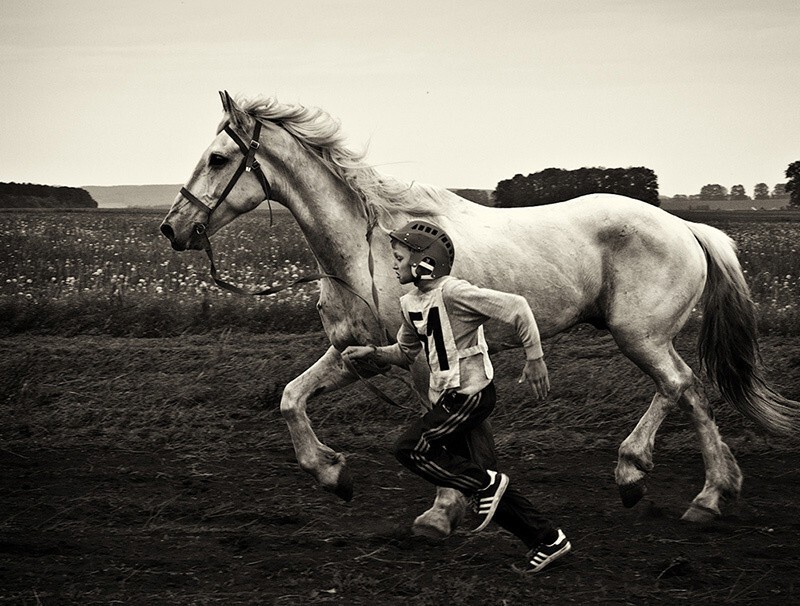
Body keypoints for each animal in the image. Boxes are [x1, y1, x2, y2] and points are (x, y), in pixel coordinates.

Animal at [159, 92, 796, 540]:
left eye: (218, 158)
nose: (173, 228)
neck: (367, 250)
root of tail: (687, 227)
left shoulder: (421, 363)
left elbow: (440, 434)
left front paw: (440, 513)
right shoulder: (359, 353)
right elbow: (292, 398)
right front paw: (333, 474)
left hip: (640, 335)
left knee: (684, 389)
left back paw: (687, 491)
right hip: (643, 336)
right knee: (681, 390)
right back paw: (674, 482)